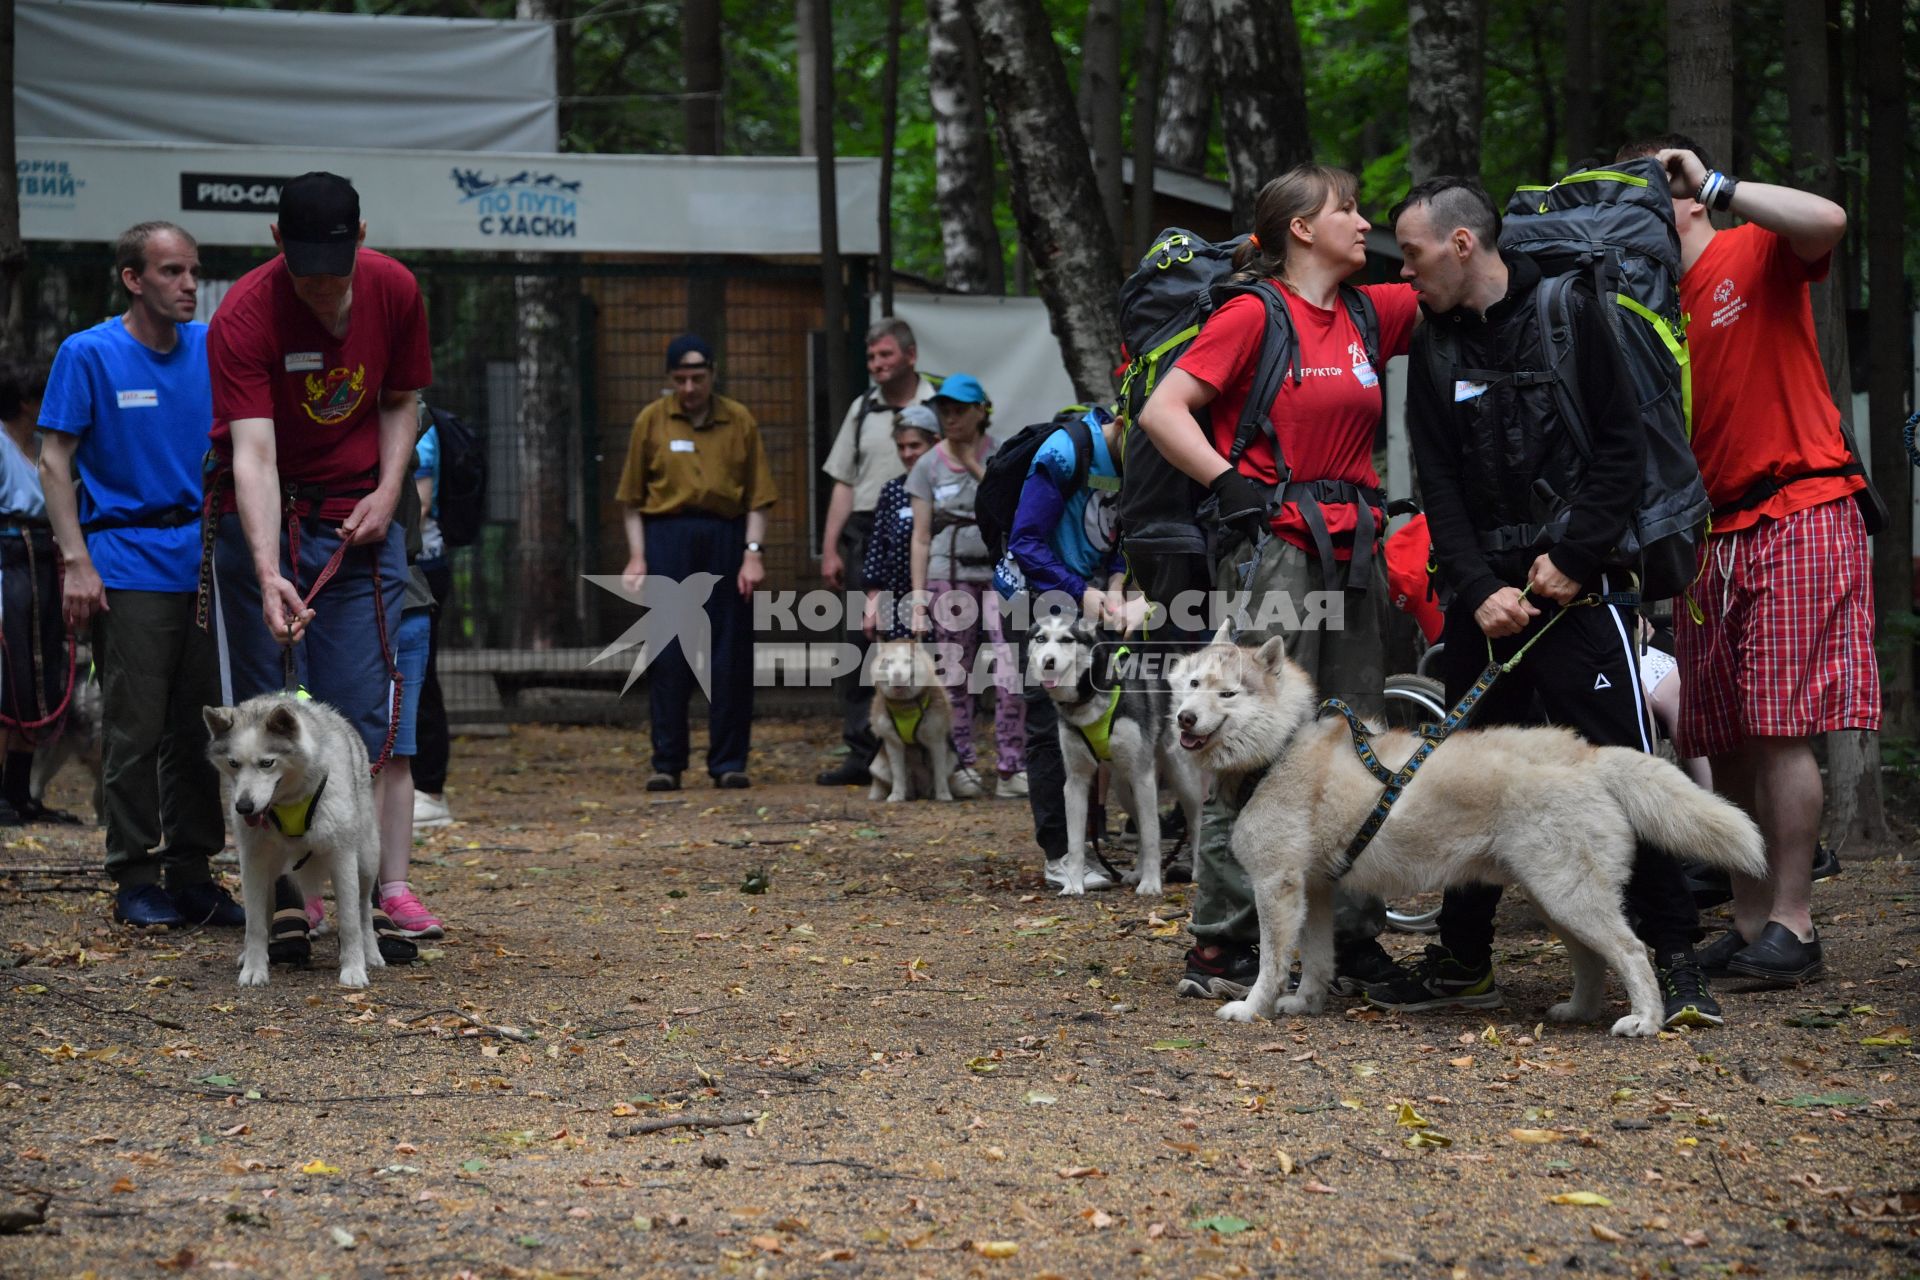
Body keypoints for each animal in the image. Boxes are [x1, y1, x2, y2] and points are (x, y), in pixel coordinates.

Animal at [203, 694, 382, 990]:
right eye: (233, 763)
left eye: (267, 763)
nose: (244, 807)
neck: (289, 802)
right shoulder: (252, 863)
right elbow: (255, 925)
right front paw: (254, 969)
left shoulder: (342, 858)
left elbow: (349, 922)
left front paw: (354, 969)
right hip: (269, 875)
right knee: (264, 916)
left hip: (366, 863)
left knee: (364, 909)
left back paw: (372, 953)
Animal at [871, 640, 960, 802]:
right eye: (889, 661)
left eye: (908, 661)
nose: (897, 675)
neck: (906, 706)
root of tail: (919, 790)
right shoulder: (893, 743)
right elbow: (898, 774)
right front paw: (896, 794)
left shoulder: (936, 740)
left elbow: (939, 773)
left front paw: (943, 794)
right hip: (878, 765)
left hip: (952, 757)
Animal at [1029, 614, 1205, 898]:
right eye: (1041, 639)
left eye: (1067, 639)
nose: (1048, 662)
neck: (1090, 698)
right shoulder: (1076, 781)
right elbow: (1075, 843)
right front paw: (1074, 883)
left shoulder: (1143, 777)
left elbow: (1152, 835)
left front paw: (1151, 884)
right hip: (1124, 787)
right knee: (1143, 823)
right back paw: (1137, 872)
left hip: (1181, 777)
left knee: (1194, 819)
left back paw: (1197, 870)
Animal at [1159, 633, 1758, 1043]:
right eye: (1192, 685)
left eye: (1227, 694)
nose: (1185, 719)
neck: (1280, 749)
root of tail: (1587, 756)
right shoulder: (1316, 892)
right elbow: (1318, 958)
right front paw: (1306, 1003)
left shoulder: (1276, 887)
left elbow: (1271, 962)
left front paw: (1252, 1008)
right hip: (1555, 900)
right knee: (1591, 960)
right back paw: (1578, 1011)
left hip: (1570, 897)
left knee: (1632, 951)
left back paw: (1647, 1019)